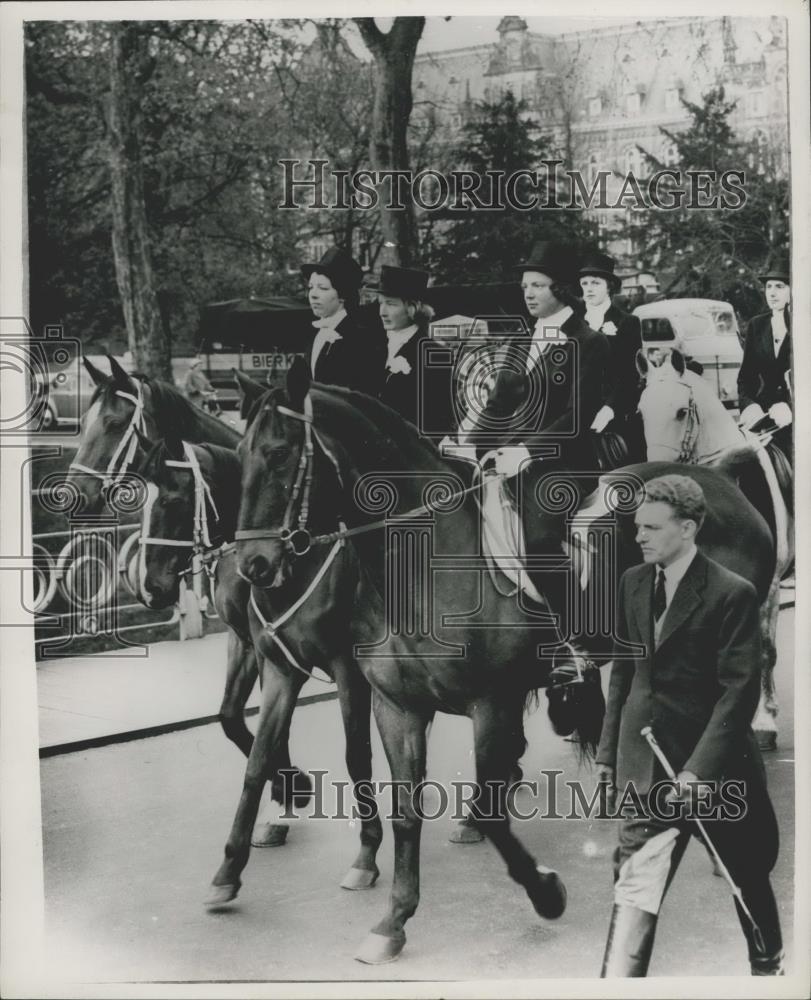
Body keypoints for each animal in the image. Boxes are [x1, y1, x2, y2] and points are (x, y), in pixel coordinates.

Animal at [132, 426, 386, 888]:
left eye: (173, 501)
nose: (148, 588)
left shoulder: (346, 667)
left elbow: (355, 753)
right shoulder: (251, 645)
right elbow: (236, 721)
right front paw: (288, 795)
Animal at [211, 360, 772, 960]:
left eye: (279, 453)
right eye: (240, 453)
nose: (253, 565)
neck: (424, 566)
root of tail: (720, 479)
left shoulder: (491, 704)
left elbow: (496, 813)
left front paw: (546, 892)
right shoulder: (395, 705)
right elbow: (402, 808)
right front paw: (393, 920)